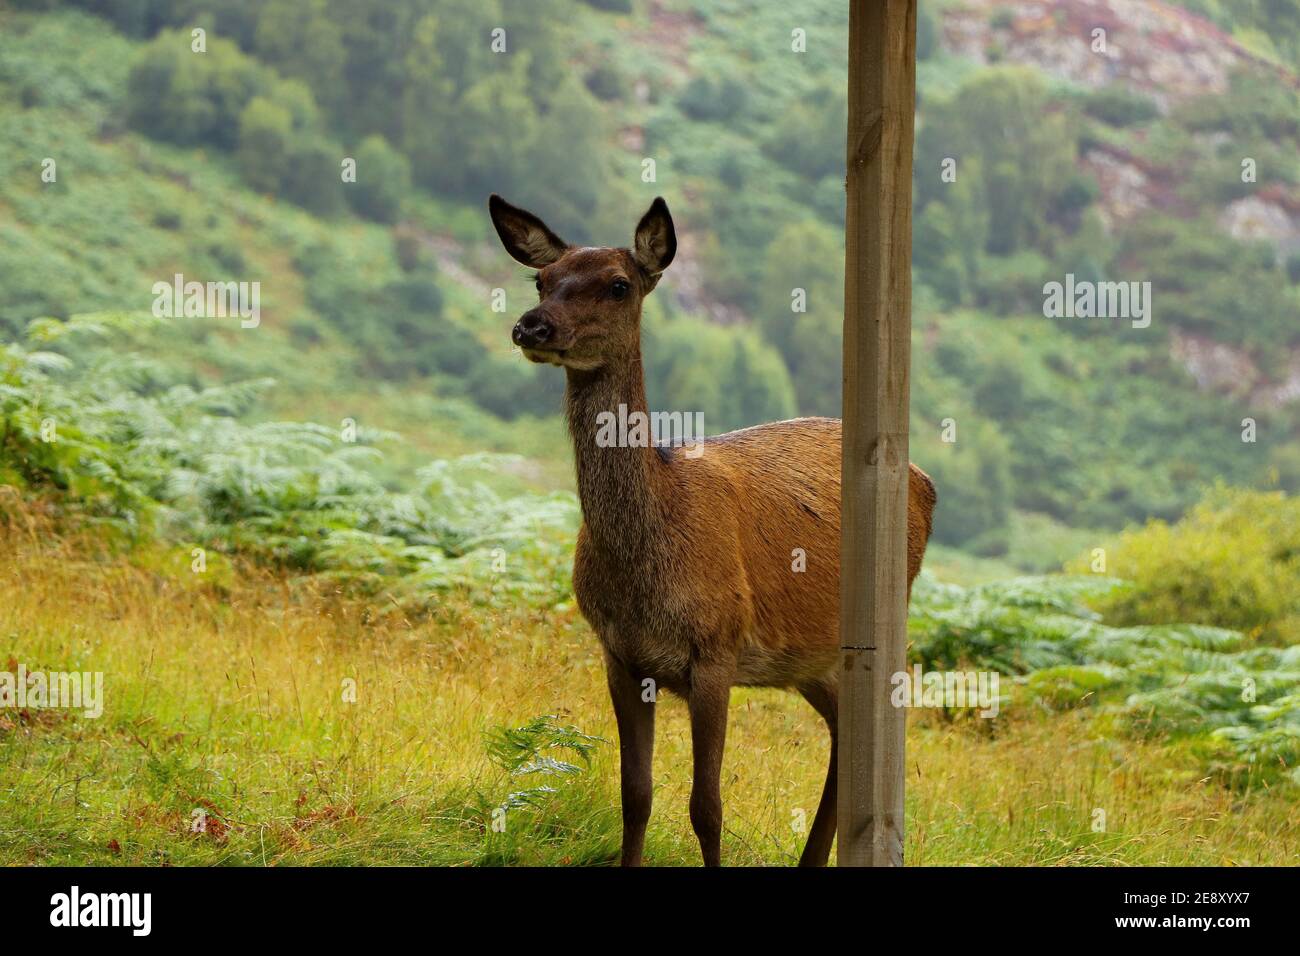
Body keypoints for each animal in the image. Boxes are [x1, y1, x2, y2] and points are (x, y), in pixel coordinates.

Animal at [488, 193, 936, 866]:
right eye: (542, 279)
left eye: (619, 284)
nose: (532, 327)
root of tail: (926, 483)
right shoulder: (619, 654)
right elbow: (635, 794)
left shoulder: (717, 649)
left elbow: (707, 806)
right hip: (810, 661)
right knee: (840, 730)